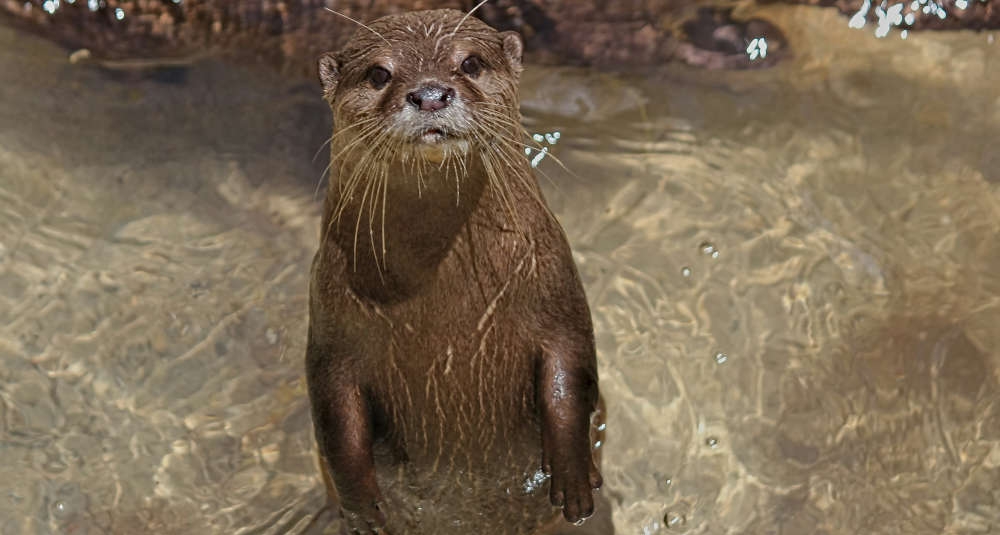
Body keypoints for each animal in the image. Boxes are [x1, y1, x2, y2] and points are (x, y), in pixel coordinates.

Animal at [305, 9, 605, 534]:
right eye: (379, 73)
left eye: (470, 63)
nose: (429, 94)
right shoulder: (329, 326)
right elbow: (336, 420)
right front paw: (362, 510)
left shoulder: (557, 289)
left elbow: (571, 375)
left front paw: (572, 479)